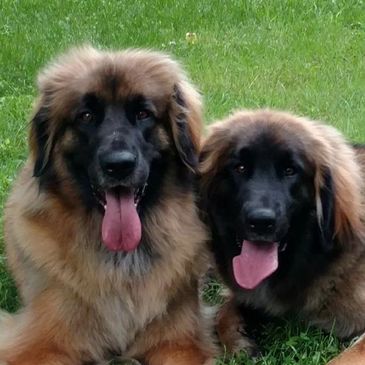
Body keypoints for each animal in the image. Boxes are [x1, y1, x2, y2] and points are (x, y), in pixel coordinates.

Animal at [0, 46, 215, 364]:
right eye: (86, 116)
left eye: (143, 114)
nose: (119, 166)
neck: (120, 259)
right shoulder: (37, 343)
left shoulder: (179, 342)